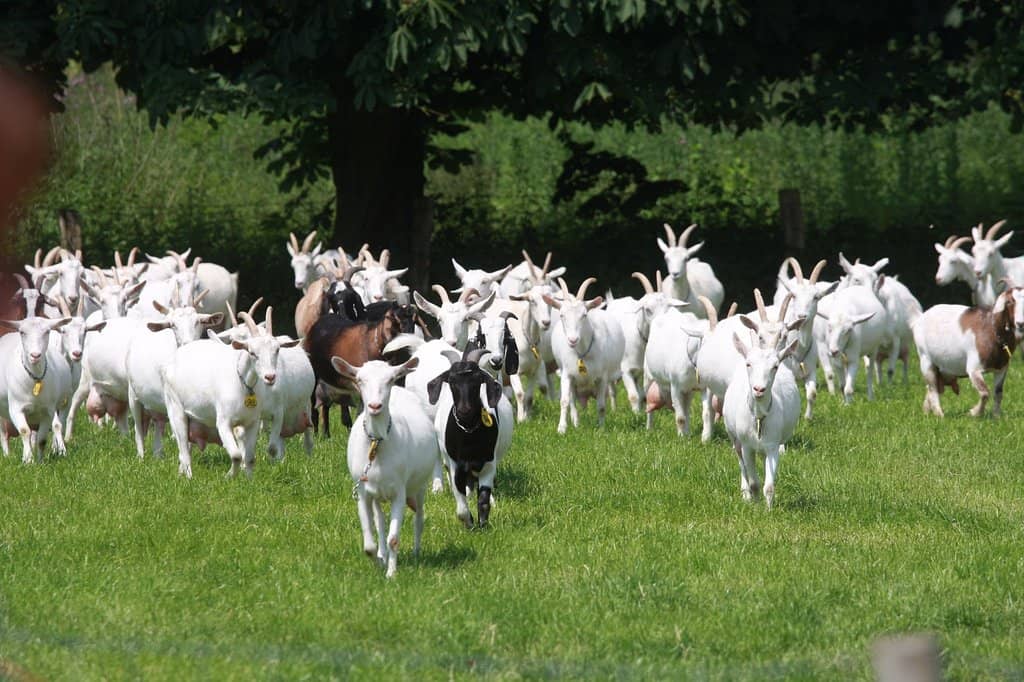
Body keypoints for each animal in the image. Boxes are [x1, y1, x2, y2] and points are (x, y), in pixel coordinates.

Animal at [332, 356, 435, 578]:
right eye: (360, 380)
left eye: (390, 379)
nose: (374, 405)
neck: (377, 444)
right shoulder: (362, 492)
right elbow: (369, 543)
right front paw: (379, 561)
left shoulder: (399, 492)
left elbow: (393, 538)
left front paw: (391, 573)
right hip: (377, 496)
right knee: (380, 523)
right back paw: (383, 554)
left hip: (419, 486)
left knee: (419, 517)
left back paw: (416, 552)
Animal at [427, 348, 514, 528]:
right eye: (451, 381)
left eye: (477, 380)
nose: (464, 410)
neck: (468, 435)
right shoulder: (456, 466)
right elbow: (461, 506)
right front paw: (470, 523)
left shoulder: (488, 464)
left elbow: (484, 500)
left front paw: (483, 524)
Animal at [544, 278, 625, 434]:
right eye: (562, 315)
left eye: (584, 315)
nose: (572, 339)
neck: (582, 353)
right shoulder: (567, 374)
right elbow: (564, 401)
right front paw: (561, 429)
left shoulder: (602, 377)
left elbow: (601, 405)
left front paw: (601, 429)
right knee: (573, 402)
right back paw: (576, 424)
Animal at [913, 283, 1022, 417]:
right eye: (1010, 301)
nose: (1021, 323)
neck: (991, 330)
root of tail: (921, 318)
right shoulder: (974, 369)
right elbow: (985, 392)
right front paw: (974, 413)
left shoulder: (1001, 369)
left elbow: (998, 393)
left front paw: (996, 416)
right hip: (925, 359)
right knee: (933, 388)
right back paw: (940, 414)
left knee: (929, 388)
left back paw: (926, 412)